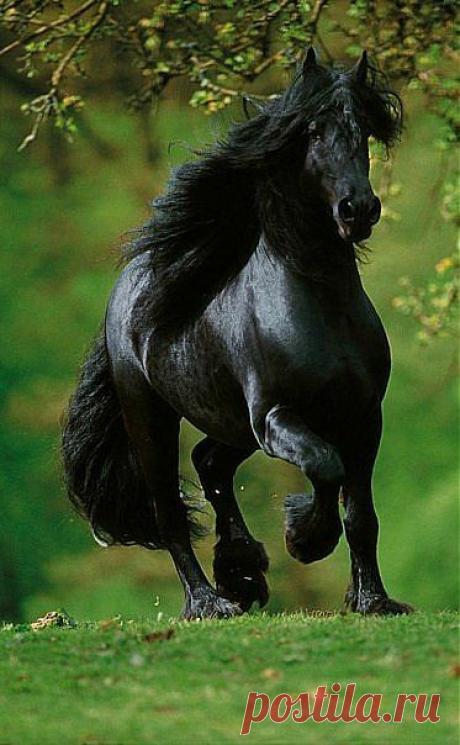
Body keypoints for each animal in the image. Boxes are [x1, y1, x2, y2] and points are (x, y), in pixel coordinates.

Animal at [63, 48, 413, 619]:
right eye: (313, 131)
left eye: (362, 130)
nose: (358, 209)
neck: (320, 307)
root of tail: (127, 287)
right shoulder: (276, 416)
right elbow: (325, 467)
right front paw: (304, 539)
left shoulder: (363, 417)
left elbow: (361, 514)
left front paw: (374, 601)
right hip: (152, 419)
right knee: (169, 514)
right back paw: (210, 602)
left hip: (230, 425)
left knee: (209, 463)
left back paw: (242, 570)